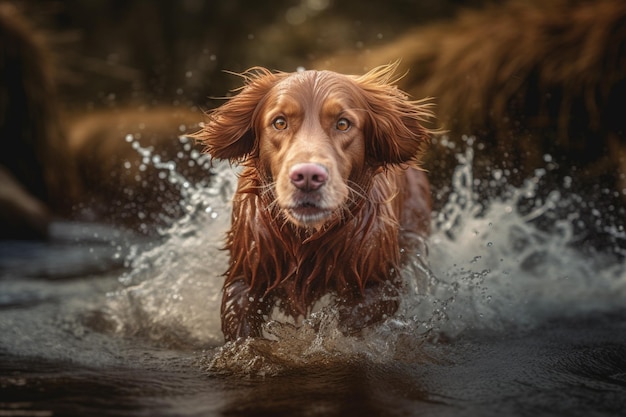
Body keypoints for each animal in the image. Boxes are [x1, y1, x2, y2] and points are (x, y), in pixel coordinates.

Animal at [197, 63, 432, 340]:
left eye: (343, 124)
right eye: (280, 122)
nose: (308, 177)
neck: (305, 237)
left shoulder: (378, 282)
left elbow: (346, 320)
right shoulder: (248, 272)